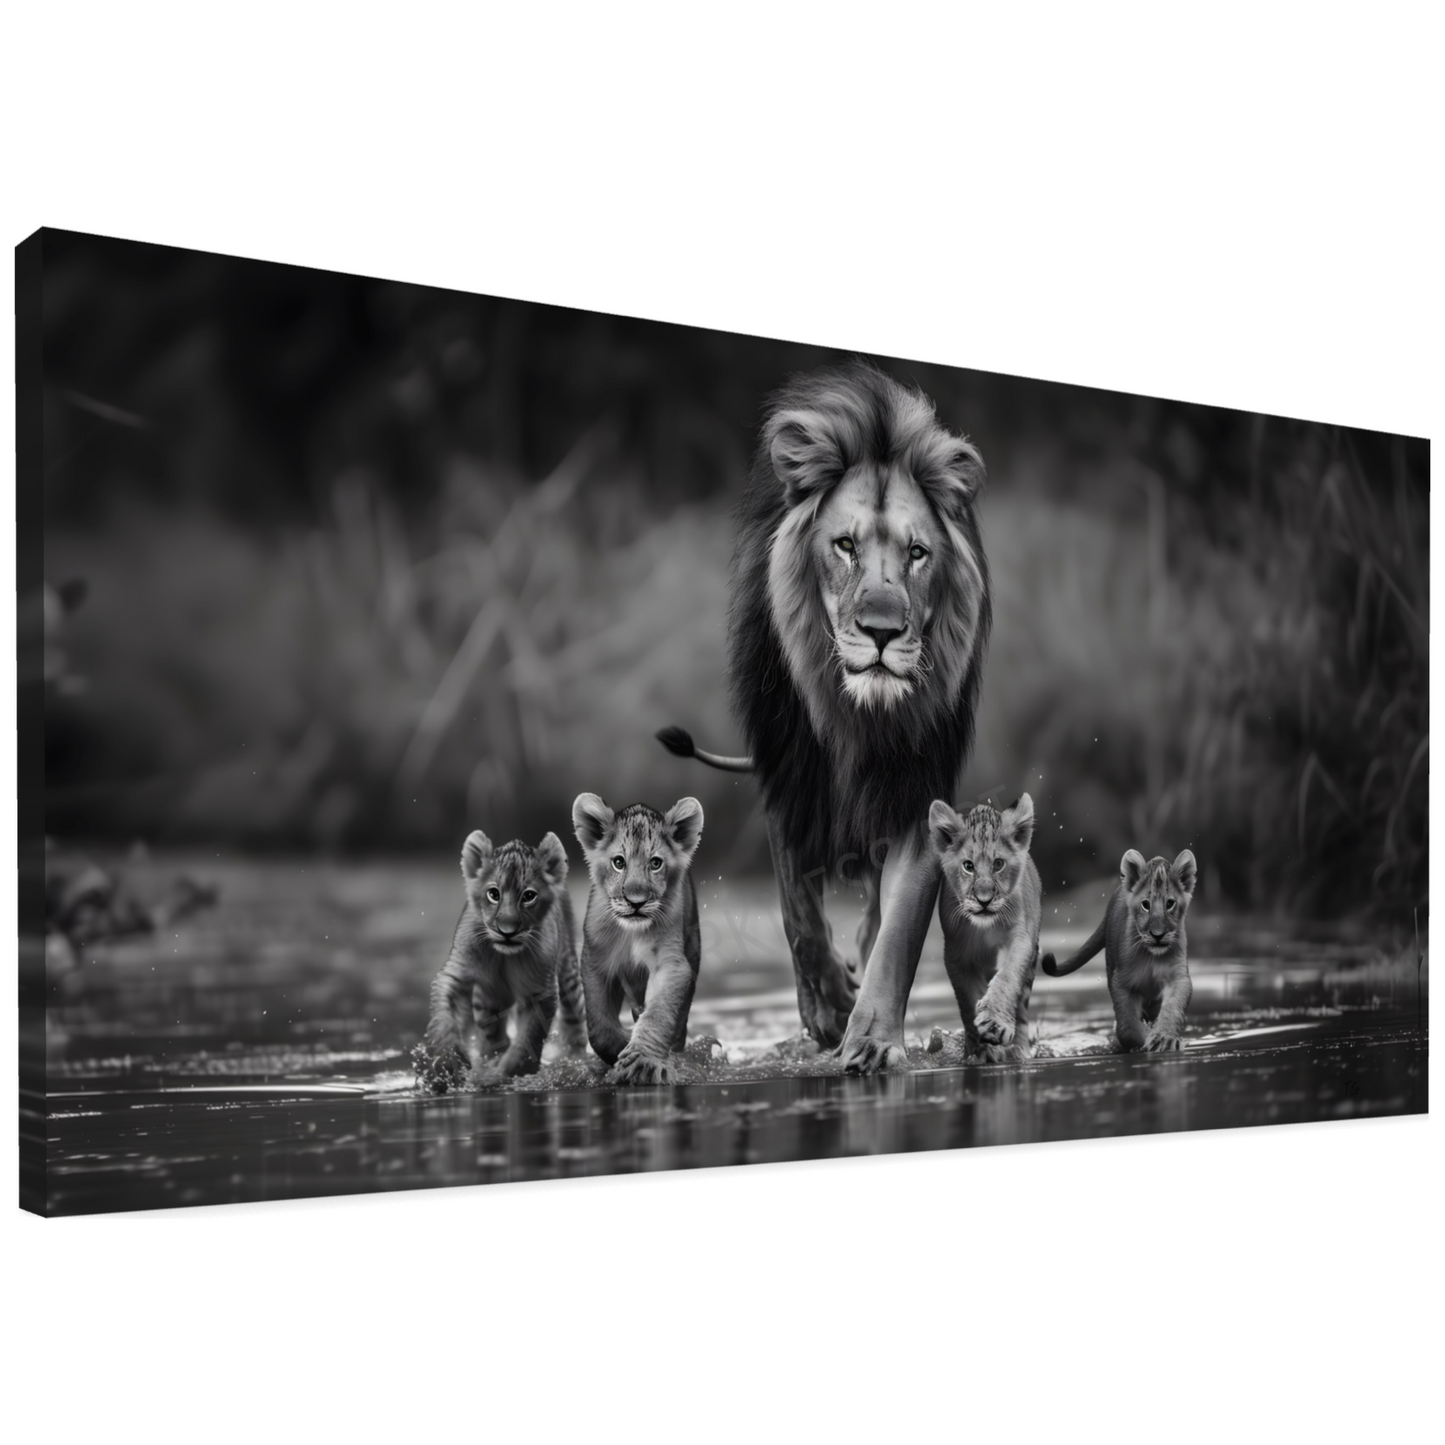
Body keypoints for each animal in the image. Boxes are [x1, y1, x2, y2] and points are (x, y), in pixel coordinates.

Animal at [658, 362, 990, 1071]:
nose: (883, 631)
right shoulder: (788, 779)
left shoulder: (916, 793)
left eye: (917, 554)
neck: (857, 715)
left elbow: (900, 928)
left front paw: (871, 1037)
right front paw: (830, 1007)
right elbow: (797, 917)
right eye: (844, 546)